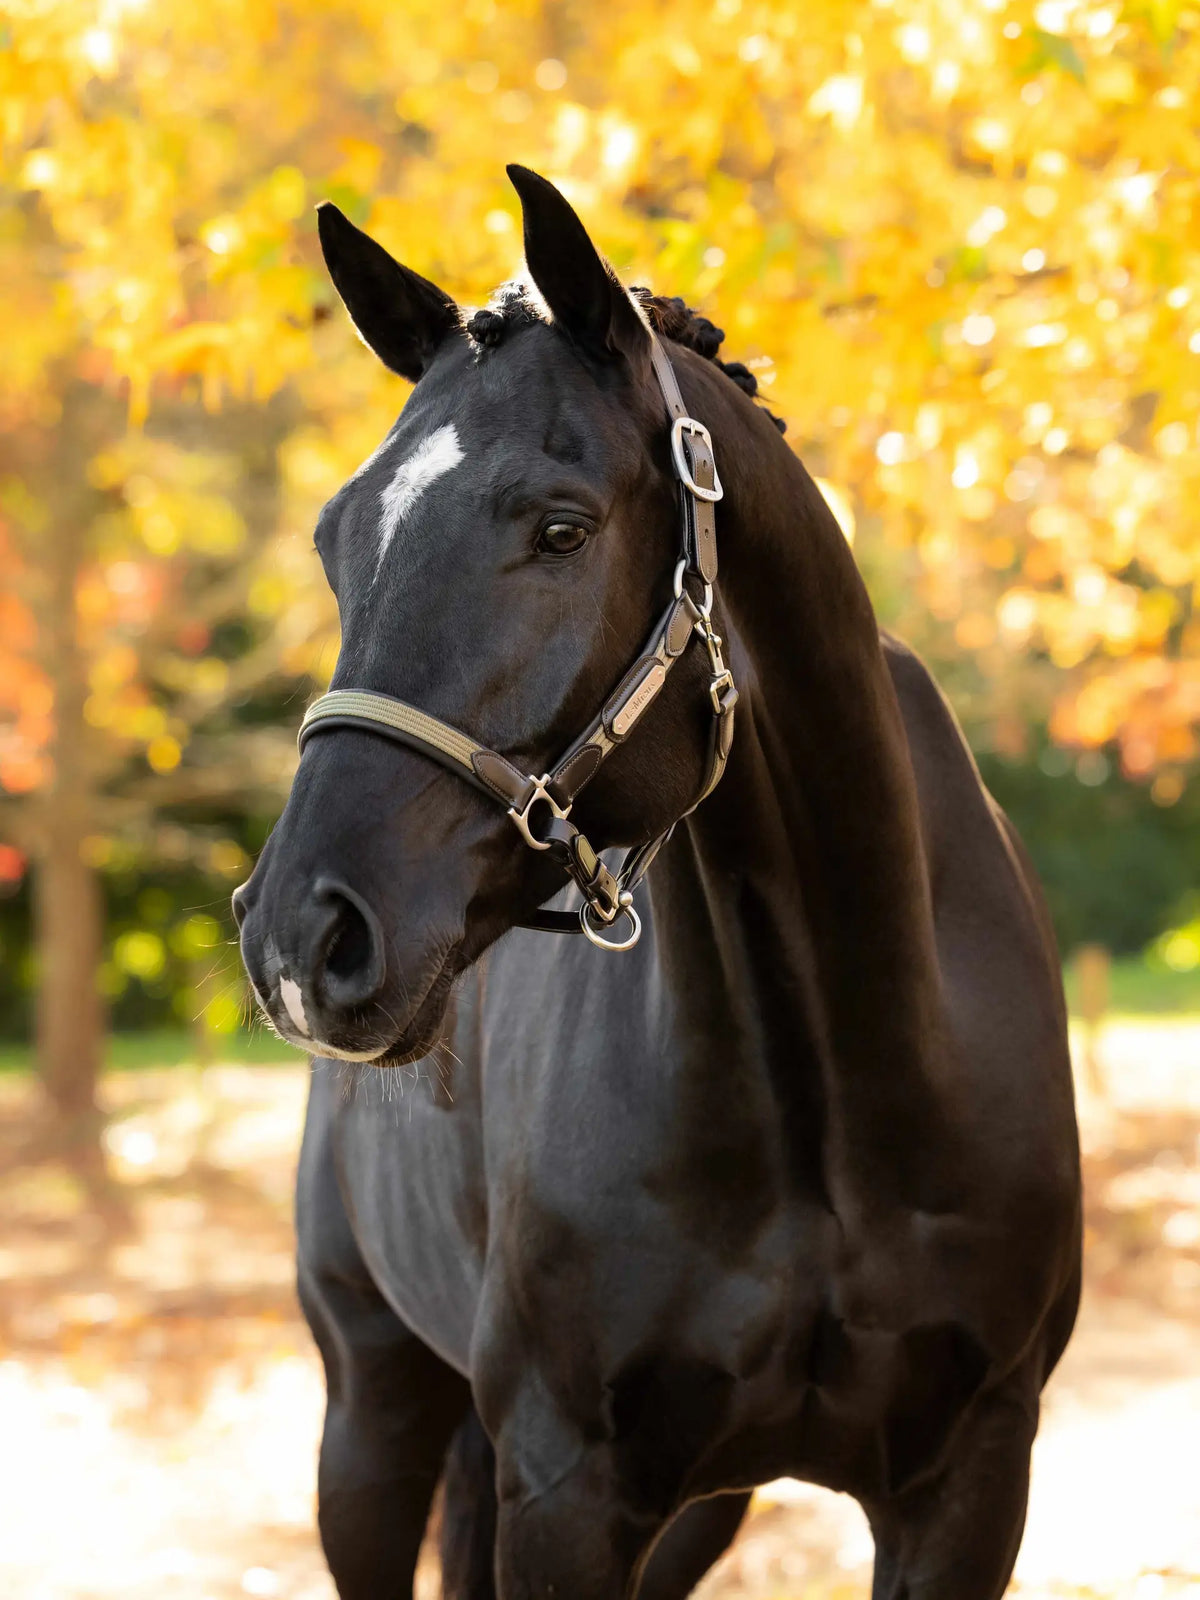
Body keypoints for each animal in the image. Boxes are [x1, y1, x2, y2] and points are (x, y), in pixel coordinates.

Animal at [234, 165, 1082, 1600]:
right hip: (373, 1410)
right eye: (335, 539)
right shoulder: (565, 1492)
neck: (842, 1087)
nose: (301, 934)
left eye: (560, 528)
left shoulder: (972, 1483)